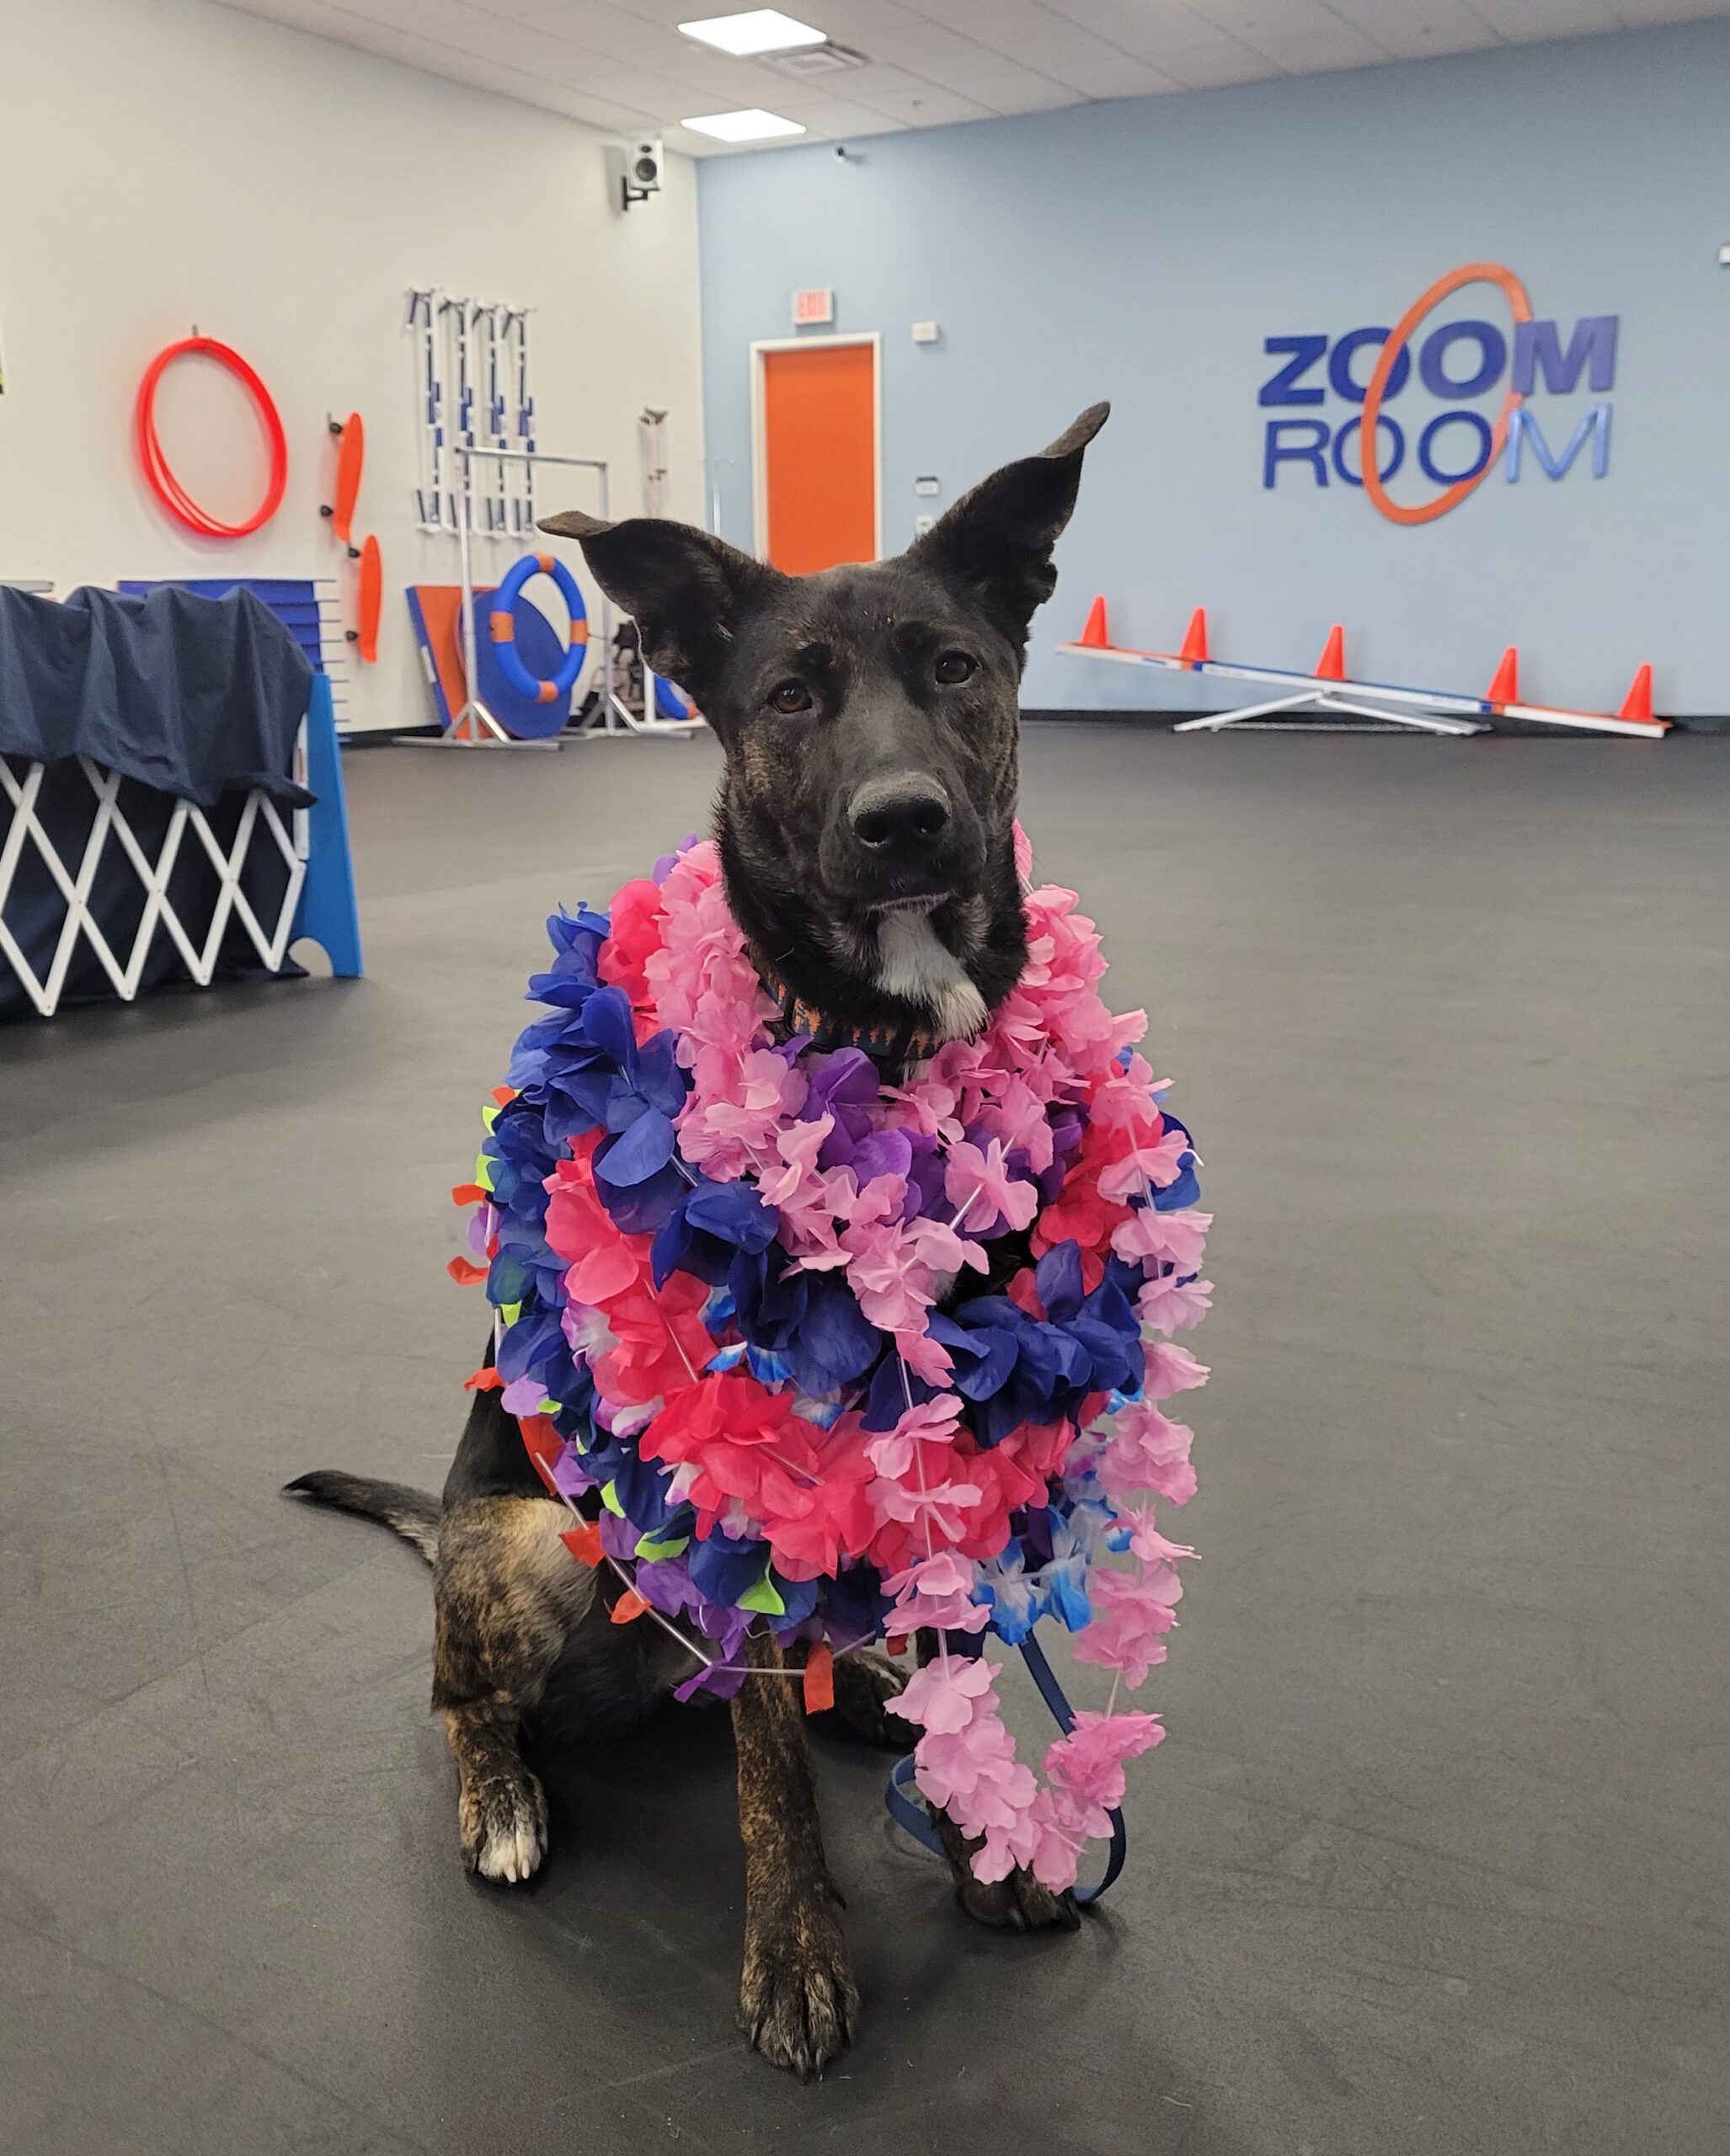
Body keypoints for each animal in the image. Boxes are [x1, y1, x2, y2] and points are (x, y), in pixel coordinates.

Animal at [286, 401, 1104, 2069]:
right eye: (788, 694)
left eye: (953, 668)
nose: (902, 821)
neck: (879, 1045)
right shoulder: (733, 1476)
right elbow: (766, 1774)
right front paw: (793, 1957)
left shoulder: (959, 1436)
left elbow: (959, 1674)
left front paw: (979, 1844)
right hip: (534, 1546)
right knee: (463, 1703)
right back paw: (504, 1798)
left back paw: (867, 1682)